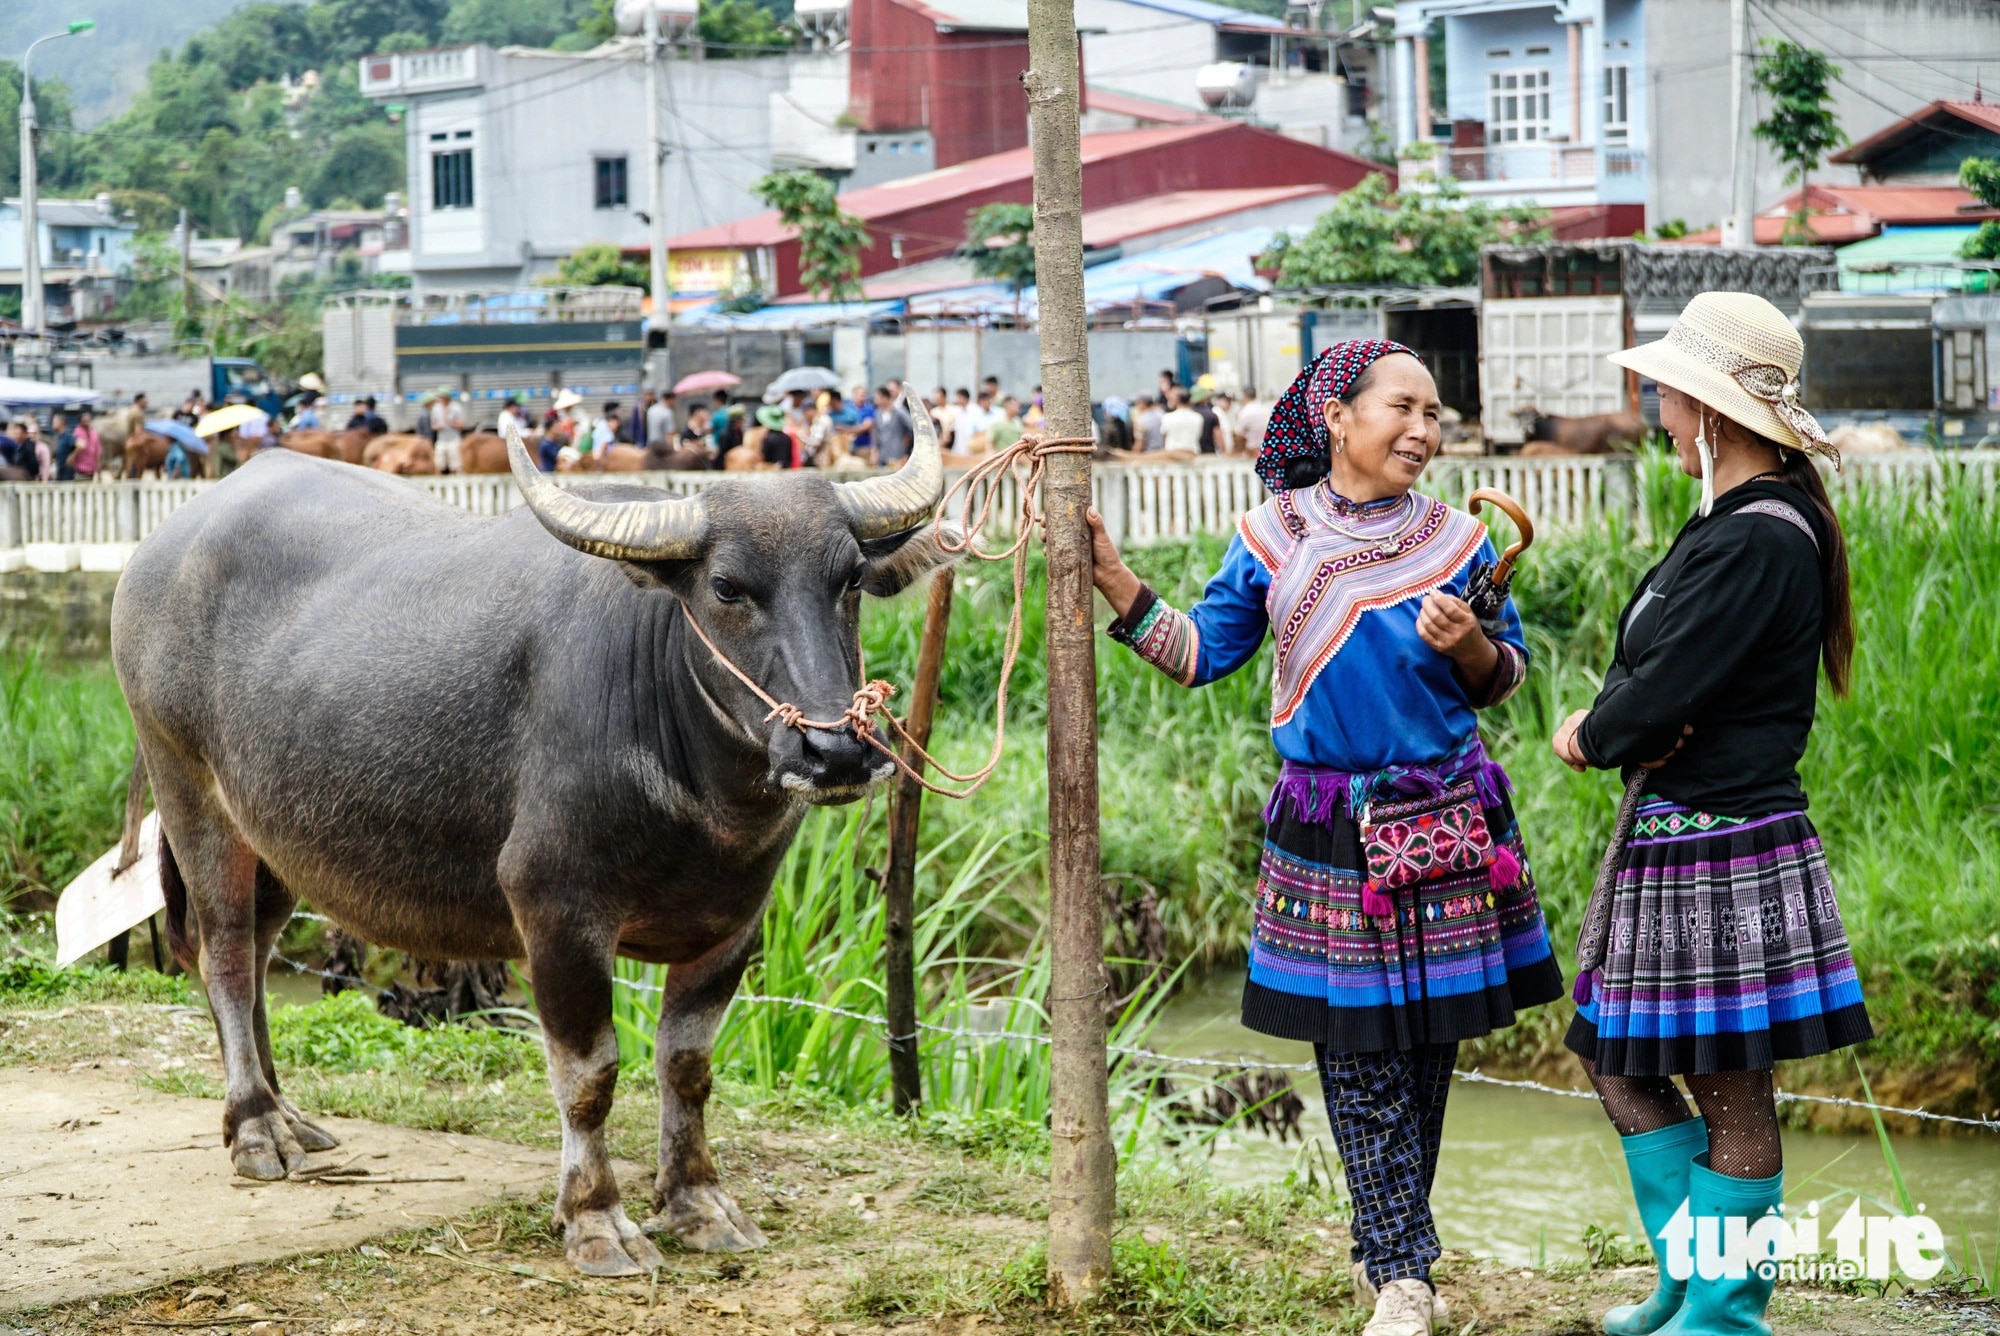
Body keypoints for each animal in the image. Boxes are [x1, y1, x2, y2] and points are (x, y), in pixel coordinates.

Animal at [109, 402, 952, 1280]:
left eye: (849, 580)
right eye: (726, 587)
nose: (836, 752)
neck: (699, 797)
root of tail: (158, 557)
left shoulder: (733, 928)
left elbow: (687, 1067)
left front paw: (698, 1202)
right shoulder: (557, 914)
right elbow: (589, 1074)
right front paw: (596, 1218)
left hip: (275, 839)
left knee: (260, 953)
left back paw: (287, 1113)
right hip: (189, 791)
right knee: (226, 958)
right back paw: (254, 1128)